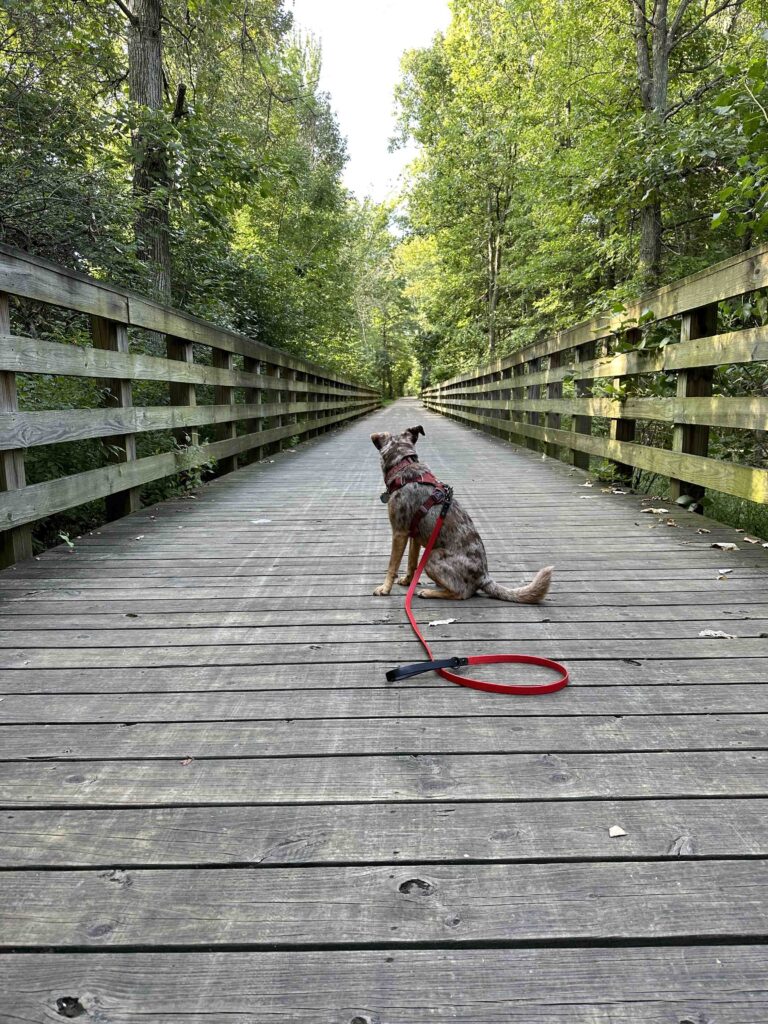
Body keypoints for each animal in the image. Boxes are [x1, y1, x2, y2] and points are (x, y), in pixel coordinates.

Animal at [370, 423, 552, 598]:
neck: (404, 466)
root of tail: (484, 577)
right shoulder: (413, 535)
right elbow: (411, 563)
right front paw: (408, 581)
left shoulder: (399, 532)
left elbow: (392, 565)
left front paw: (385, 588)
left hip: (432, 556)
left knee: (462, 593)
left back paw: (430, 592)